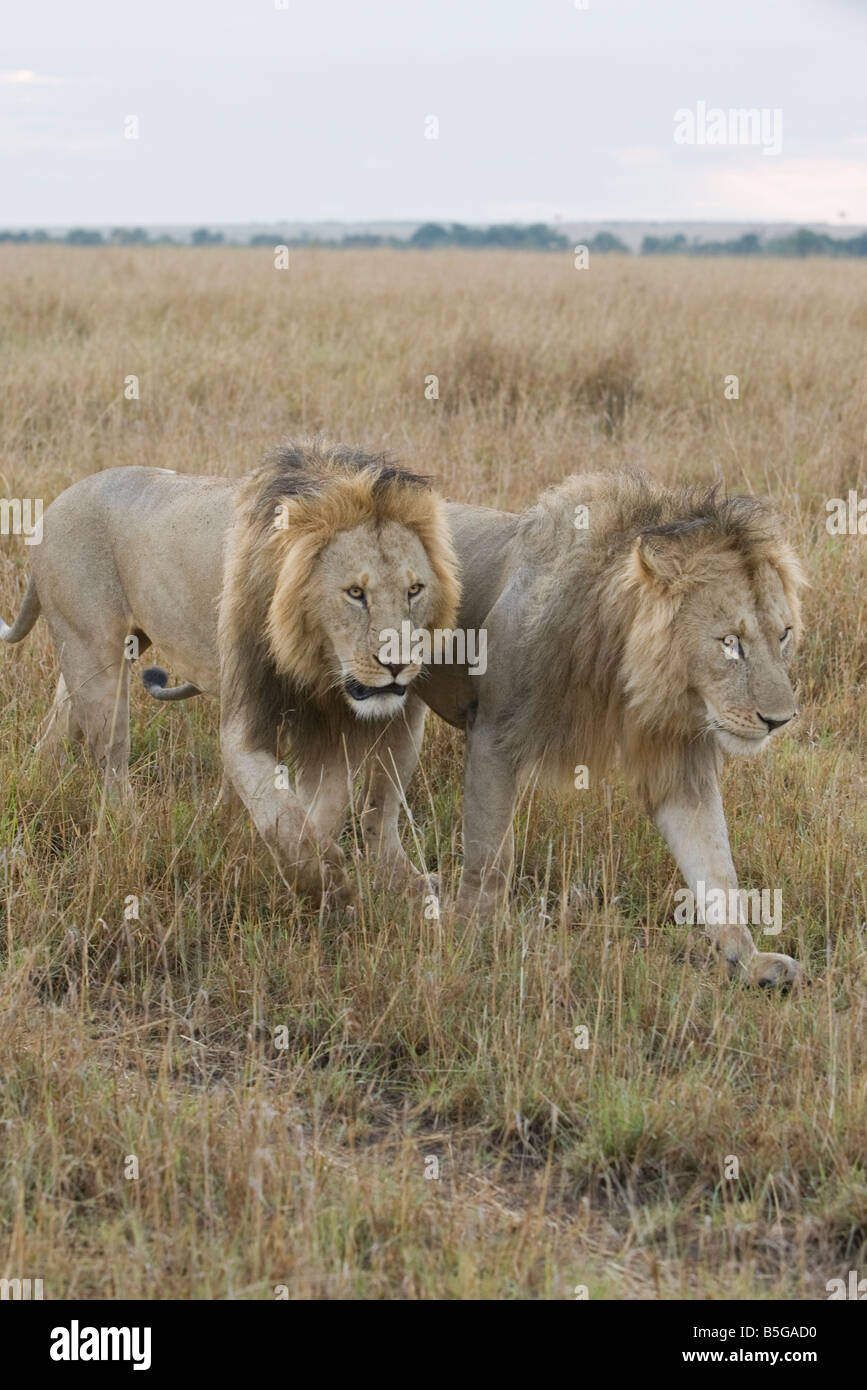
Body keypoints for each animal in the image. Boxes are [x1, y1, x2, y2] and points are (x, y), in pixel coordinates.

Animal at [0, 439, 460, 906]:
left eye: (414, 590)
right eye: (355, 593)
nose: (398, 665)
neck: (318, 664)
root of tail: (56, 504)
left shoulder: (350, 723)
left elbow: (342, 804)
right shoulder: (249, 718)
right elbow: (279, 809)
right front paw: (325, 880)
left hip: (92, 654)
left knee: (56, 725)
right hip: (96, 656)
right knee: (110, 758)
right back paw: (128, 831)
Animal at [364, 470, 807, 988]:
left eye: (783, 635)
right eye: (730, 643)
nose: (779, 721)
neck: (622, 661)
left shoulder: (678, 763)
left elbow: (716, 868)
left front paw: (749, 961)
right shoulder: (495, 732)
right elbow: (491, 854)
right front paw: (479, 940)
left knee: (377, 813)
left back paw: (406, 883)